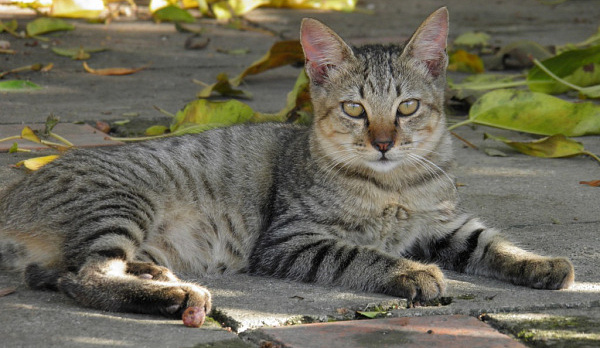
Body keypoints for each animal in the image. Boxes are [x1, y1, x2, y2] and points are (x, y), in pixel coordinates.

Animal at [0, 7, 572, 318]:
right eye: (355, 109)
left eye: (407, 107)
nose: (384, 142)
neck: (396, 189)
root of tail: (11, 196)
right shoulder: (290, 240)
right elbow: (362, 255)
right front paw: (411, 272)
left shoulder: (446, 225)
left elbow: (493, 243)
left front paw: (541, 263)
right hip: (120, 203)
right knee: (84, 276)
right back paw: (177, 296)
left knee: (60, 273)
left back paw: (156, 273)